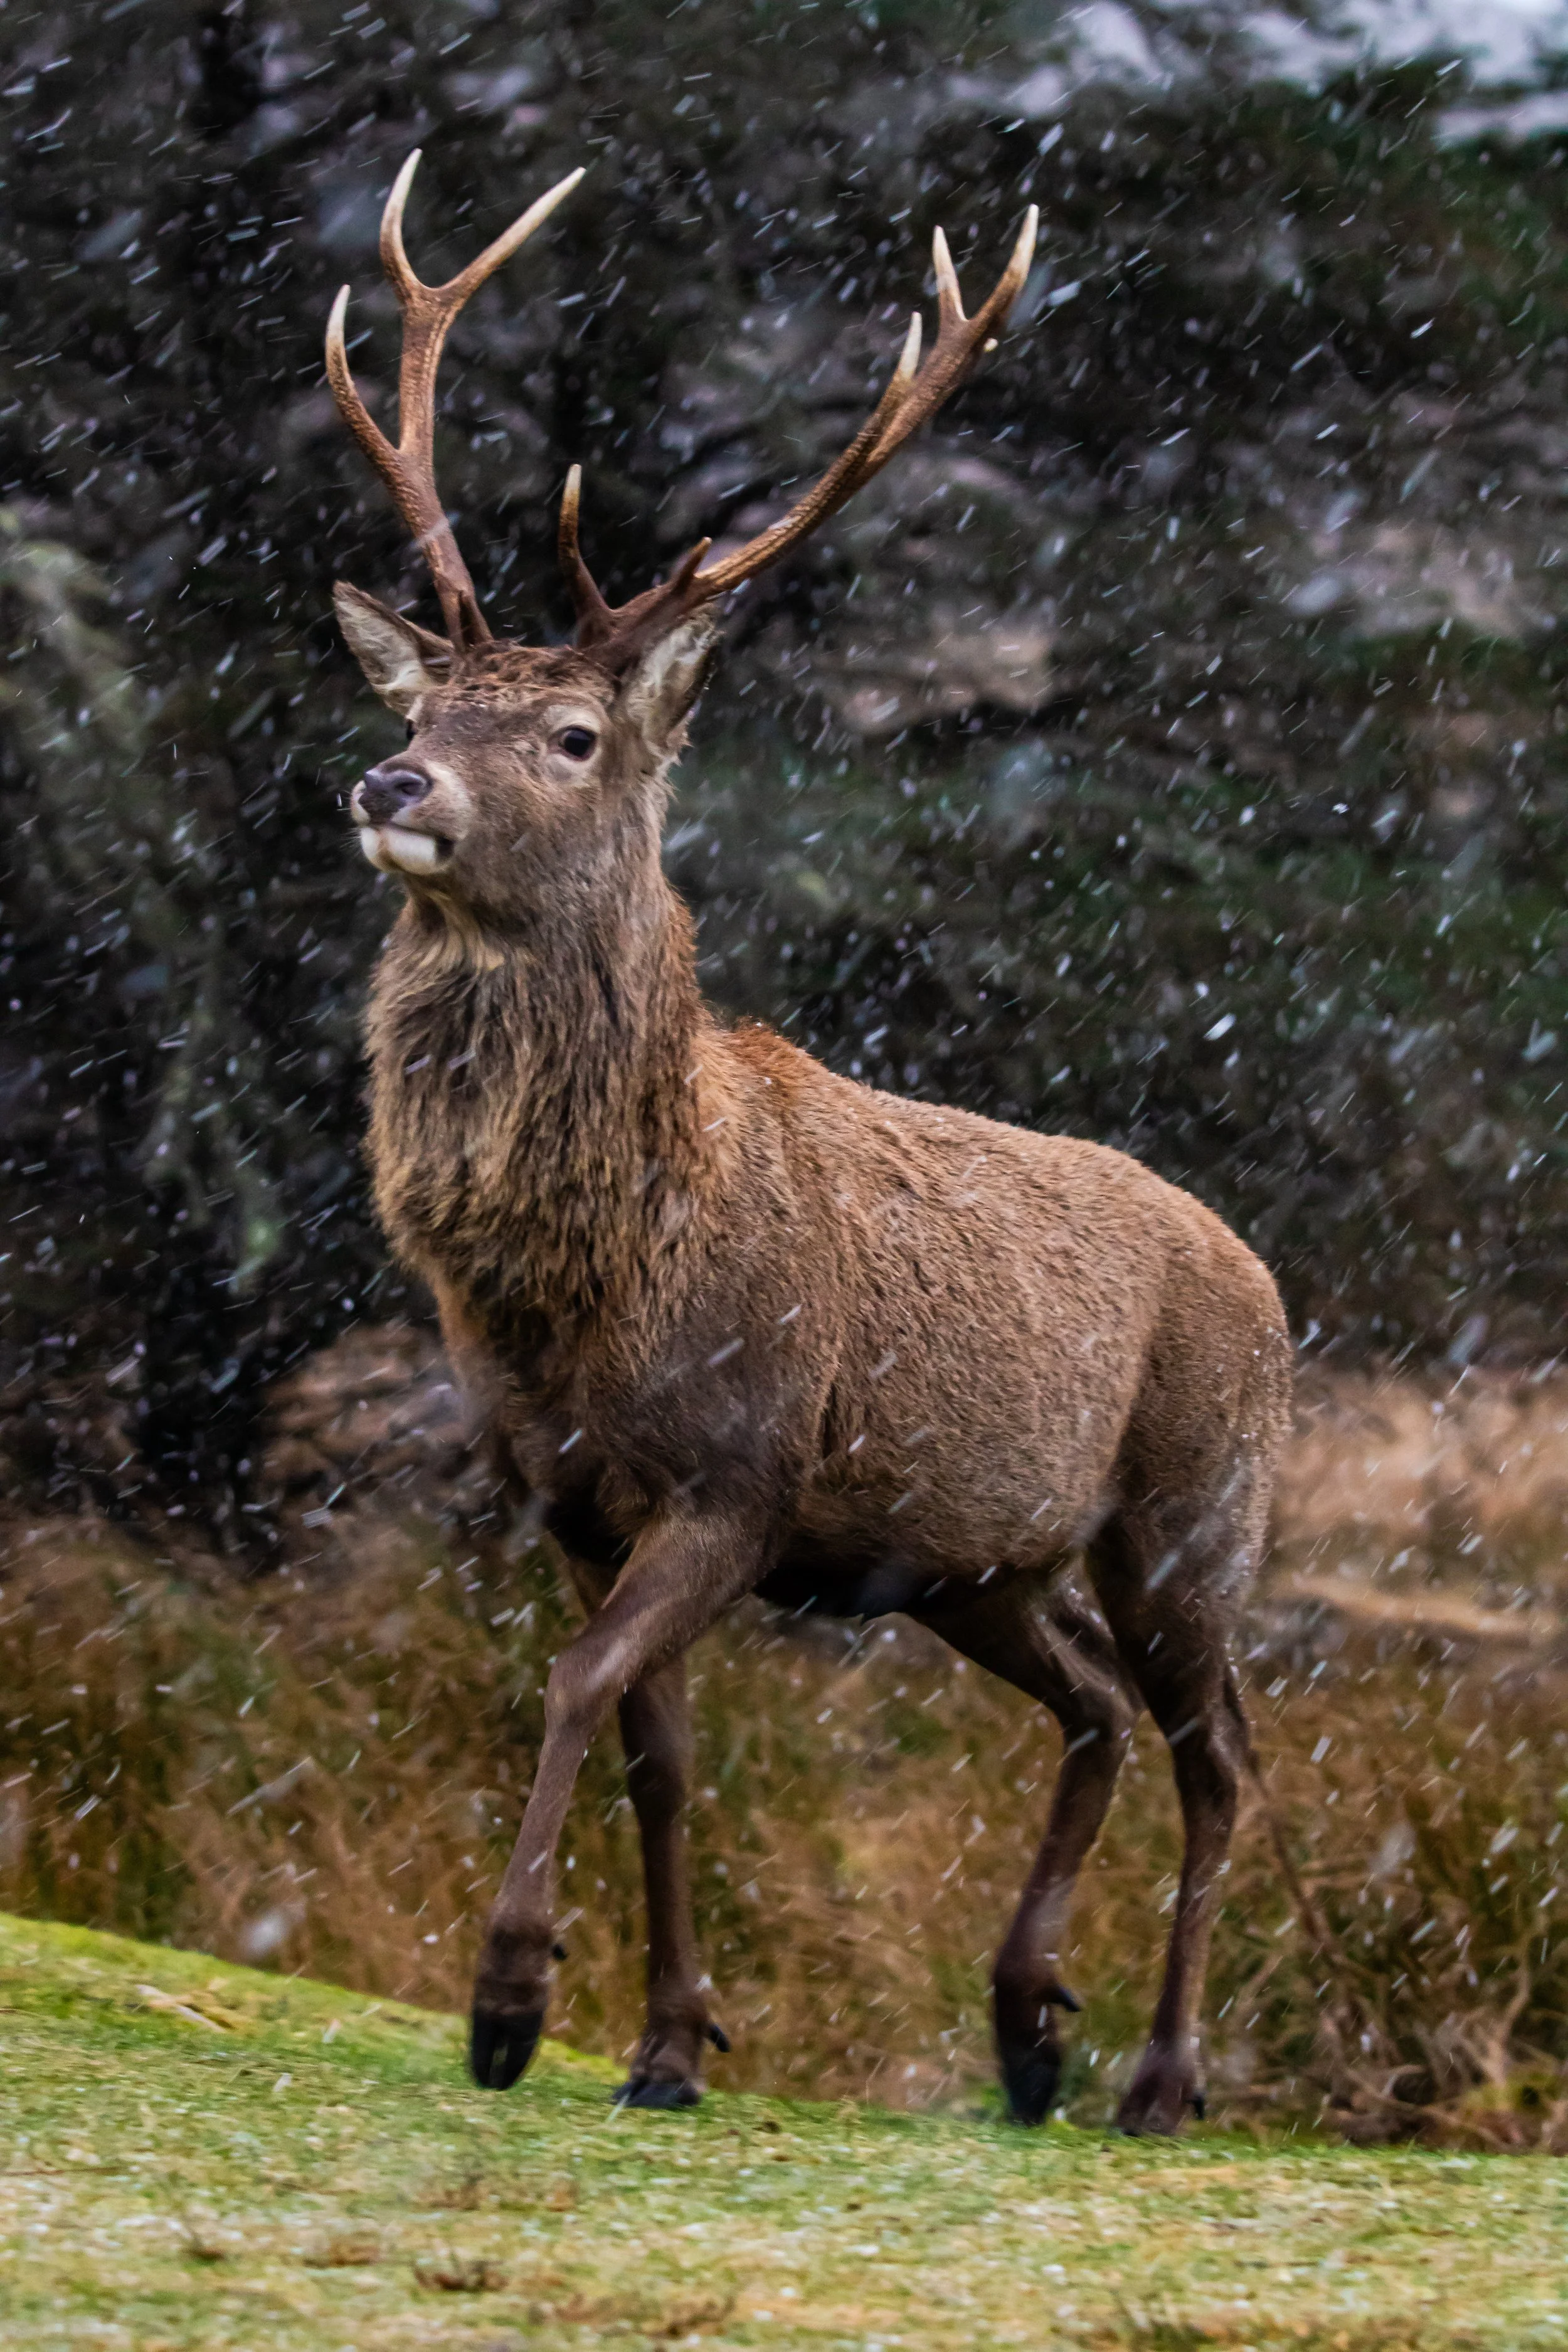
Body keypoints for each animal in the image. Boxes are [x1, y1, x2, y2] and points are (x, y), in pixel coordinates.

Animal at [322, 152, 1293, 2136]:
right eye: (419, 704)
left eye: (572, 730)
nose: (393, 783)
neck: (596, 1279)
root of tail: (1269, 1276)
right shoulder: (565, 1491)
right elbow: (660, 1745)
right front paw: (665, 2039)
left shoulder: (741, 1471)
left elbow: (575, 1684)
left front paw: (510, 1996)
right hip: (975, 1562)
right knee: (1092, 1707)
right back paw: (1027, 2023)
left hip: (1193, 1508)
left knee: (1219, 1747)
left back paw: (1161, 2072)